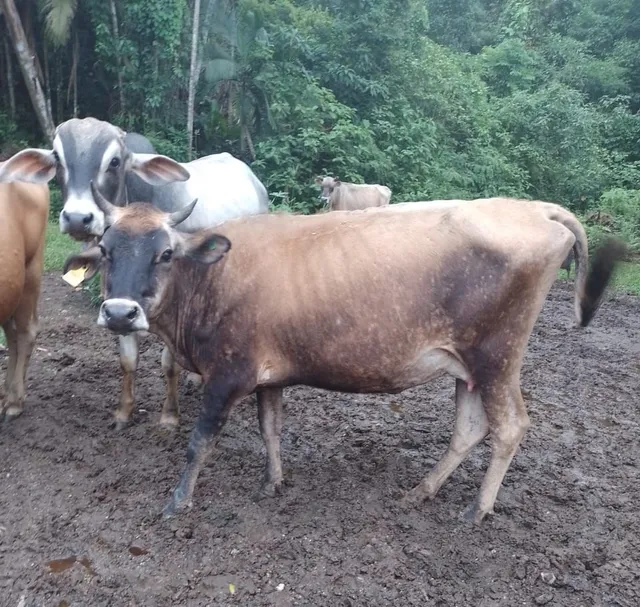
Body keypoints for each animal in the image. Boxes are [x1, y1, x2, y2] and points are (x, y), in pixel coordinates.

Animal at [0, 117, 269, 429]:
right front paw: (124, 412)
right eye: (57, 158)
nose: (78, 218)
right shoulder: (117, 304)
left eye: (115, 161)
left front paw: (169, 415)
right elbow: (128, 360)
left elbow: (169, 364)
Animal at [63, 192, 621, 523]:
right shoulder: (268, 376)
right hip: (467, 366)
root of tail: (536, 207)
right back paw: (421, 491)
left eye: (164, 254)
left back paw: (476, 510)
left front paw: (178, 501)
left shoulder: (228, 375)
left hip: (497, 357)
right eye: (107, 250)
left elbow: (199, 442)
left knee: (510, 428)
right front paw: (273, 482)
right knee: (469, 429)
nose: (120, 312)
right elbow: (271, 430)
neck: (213, 279)